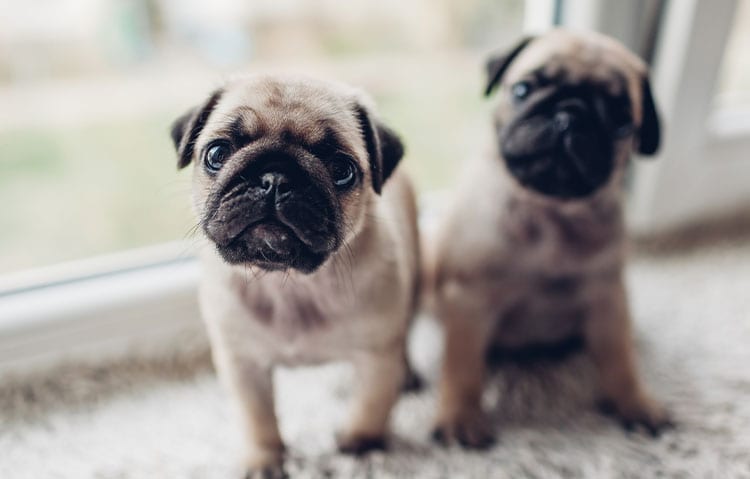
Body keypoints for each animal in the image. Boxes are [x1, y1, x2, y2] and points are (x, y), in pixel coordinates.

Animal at [171, 73, 426, 478]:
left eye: (342, 170)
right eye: (216, 154)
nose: (274, 178)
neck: (290, 285)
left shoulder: (377, 355)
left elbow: (372, 402)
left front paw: (360, 443)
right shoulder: (243, 364)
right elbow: (257, 417)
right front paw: (264, 459)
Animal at [432, 31, 672, 450]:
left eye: (621, 121)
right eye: (522, 90)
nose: (569, 114)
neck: (551, 214)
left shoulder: (608, 299)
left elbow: (621, 360)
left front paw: (635, 403)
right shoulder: (468, 301)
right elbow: (463, 366)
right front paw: (460, 416)